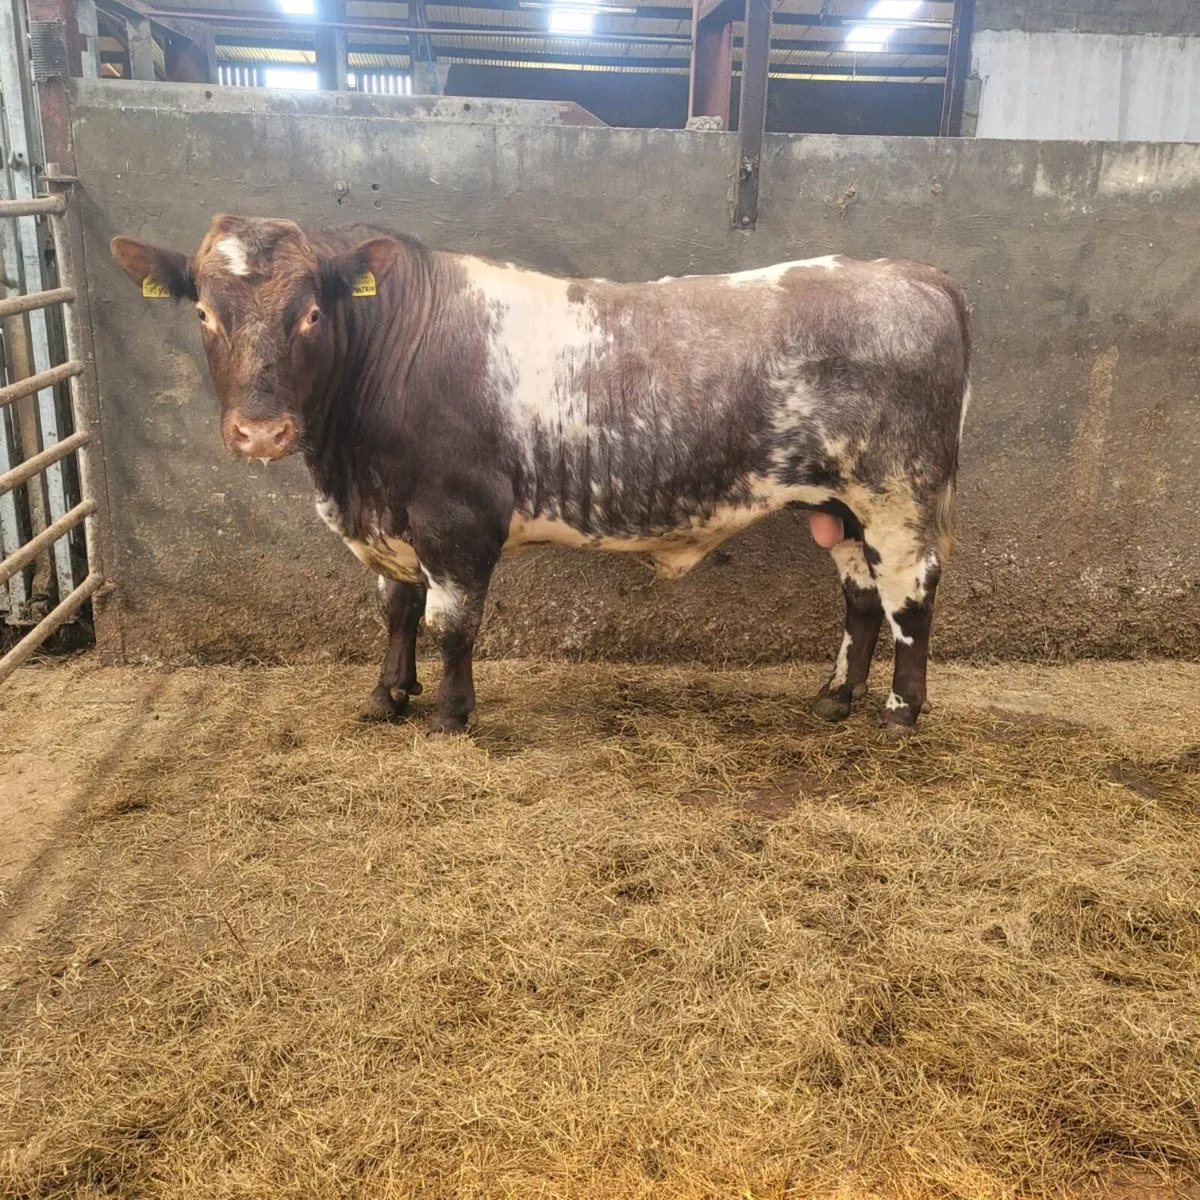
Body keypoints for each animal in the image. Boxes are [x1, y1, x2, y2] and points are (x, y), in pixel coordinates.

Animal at [111, 215, 970, 736]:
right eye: (203, 314)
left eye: (311, 314)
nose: (261, 431)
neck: (349, 472)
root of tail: (920, 274)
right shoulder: (392, 527)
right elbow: (396, 611)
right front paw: (387, 696)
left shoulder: (456, 520)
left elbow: (451, 622)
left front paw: (450, 715)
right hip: (840, 505)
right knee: (862, 598)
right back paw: (834, 698)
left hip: (897, 494)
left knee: (911, 595)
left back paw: (900, 709)